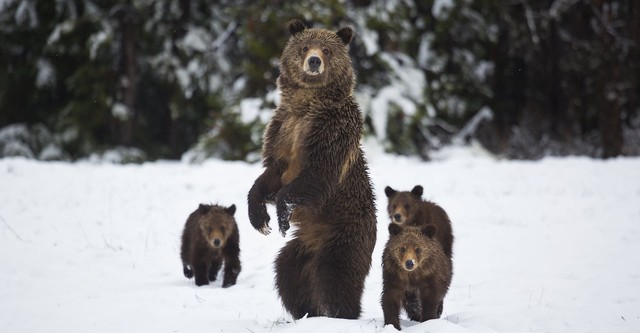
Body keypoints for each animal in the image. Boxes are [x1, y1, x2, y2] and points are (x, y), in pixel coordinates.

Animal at [245, 18, 376, 320]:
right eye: (305, 47)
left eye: (327, 50)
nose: (314, 61)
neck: (307, 105)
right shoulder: (282, 130)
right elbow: (270, 174)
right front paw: (260, 219)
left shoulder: (331, 131)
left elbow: (317, 173)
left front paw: (281, 214)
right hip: (301, 247)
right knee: (287, 274)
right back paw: (306, 312)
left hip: (343, 235)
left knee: (335, 277)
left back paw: (340, 315)